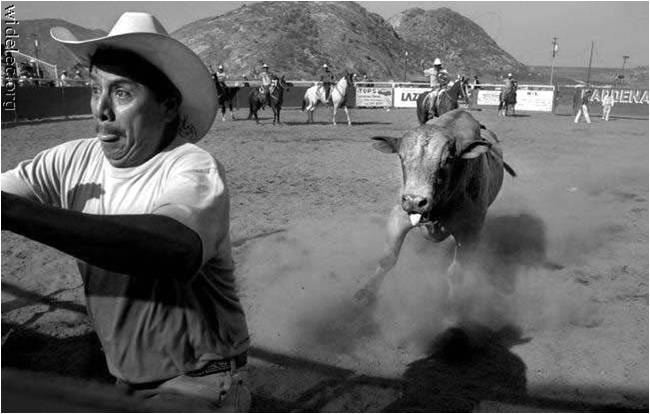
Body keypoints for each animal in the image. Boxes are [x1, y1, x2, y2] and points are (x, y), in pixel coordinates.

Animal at [354, 109, 516, 308]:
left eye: (447, 160)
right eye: (401, 157)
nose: (415, 201)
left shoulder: (470, 232)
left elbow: (456, 272)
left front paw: (454, 304)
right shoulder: (399, 216)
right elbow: (387, 259)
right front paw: (367, 291)